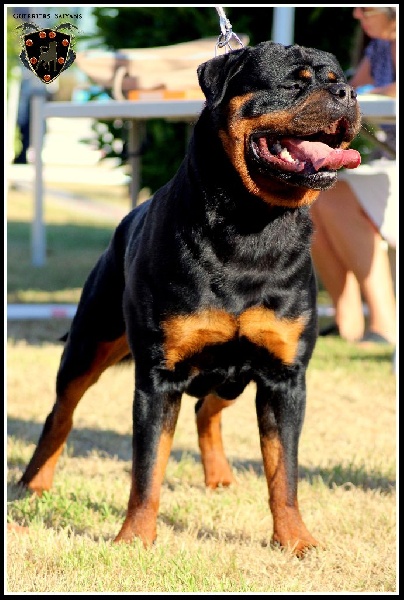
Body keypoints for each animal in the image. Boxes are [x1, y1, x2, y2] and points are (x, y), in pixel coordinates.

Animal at [19, 41, 361, 556]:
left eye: (338, 79)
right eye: (294, 83)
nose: (349, 93)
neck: (253, 226)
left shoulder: (284, 377)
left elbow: (285, 472)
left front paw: (296, 540)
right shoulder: (159, 378)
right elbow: (147, 471)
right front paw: (135, 539)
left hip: (232, 376)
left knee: (208, 409)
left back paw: (219, 476)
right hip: (88, 343)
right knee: (61, 413)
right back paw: (32, 484)